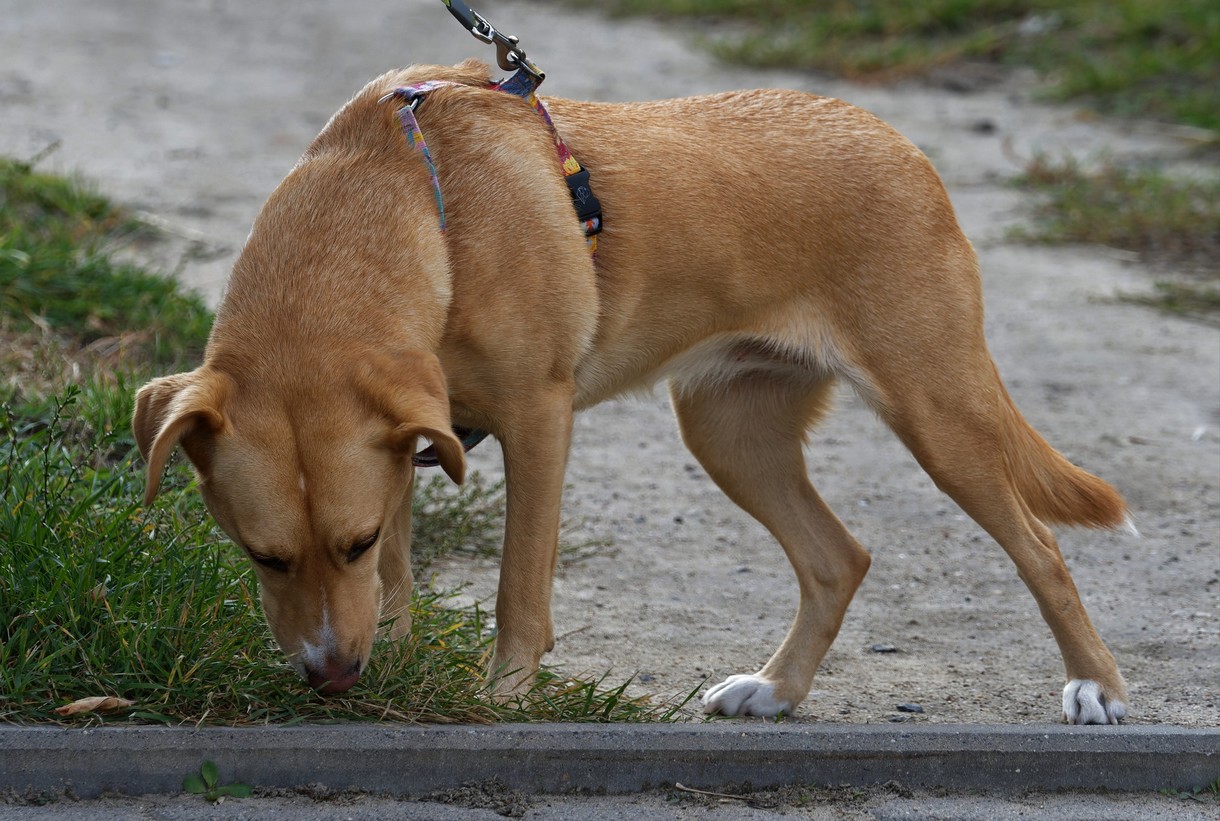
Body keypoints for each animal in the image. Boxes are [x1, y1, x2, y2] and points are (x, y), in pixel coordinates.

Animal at [136, 59, 1132, 722]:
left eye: (351, 540)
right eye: (263, 556)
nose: (332, 676)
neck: (414, 205)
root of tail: (897, 144)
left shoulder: (537, 421)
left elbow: (516, 592)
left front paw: (503, 699)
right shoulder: (411, 443)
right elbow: (401, 581)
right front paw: (401, 664)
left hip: (937, 411)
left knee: (1041, 547)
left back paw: (1097, 685)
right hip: (731, 434)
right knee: (837, 558)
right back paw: (777, 689)